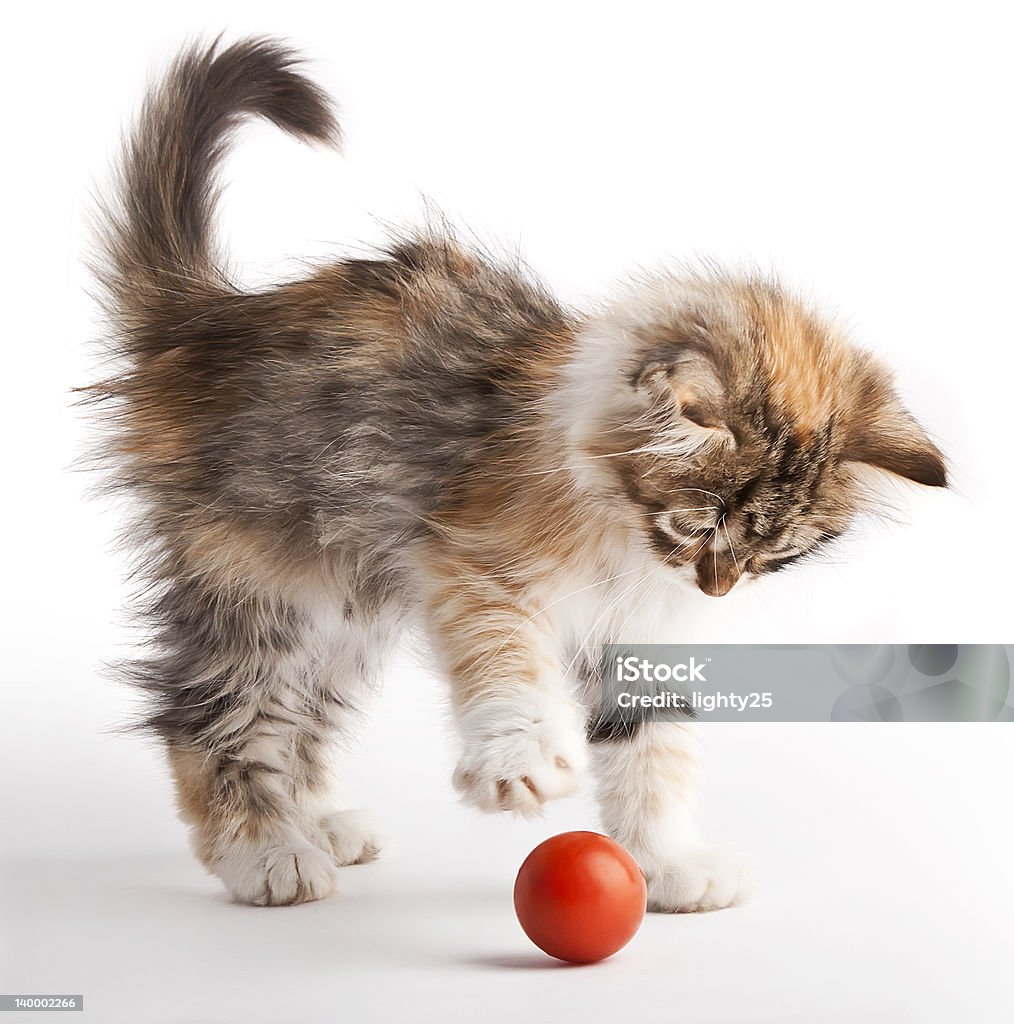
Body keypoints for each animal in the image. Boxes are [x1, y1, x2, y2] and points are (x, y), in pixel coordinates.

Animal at [91, 37, 950, 913]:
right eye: (692, 526)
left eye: (773, 556)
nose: (717, 591)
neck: (621, 532)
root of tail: (210, 319)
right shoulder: (472, 563)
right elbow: (510, 666)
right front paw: (521, 762)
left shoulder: (640, 631)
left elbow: (652, 746)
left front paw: (667, 861)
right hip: (267, 585)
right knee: (209, 711)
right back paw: (266, 851)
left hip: (350, 608)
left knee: (297, 715)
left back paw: (319, 820)